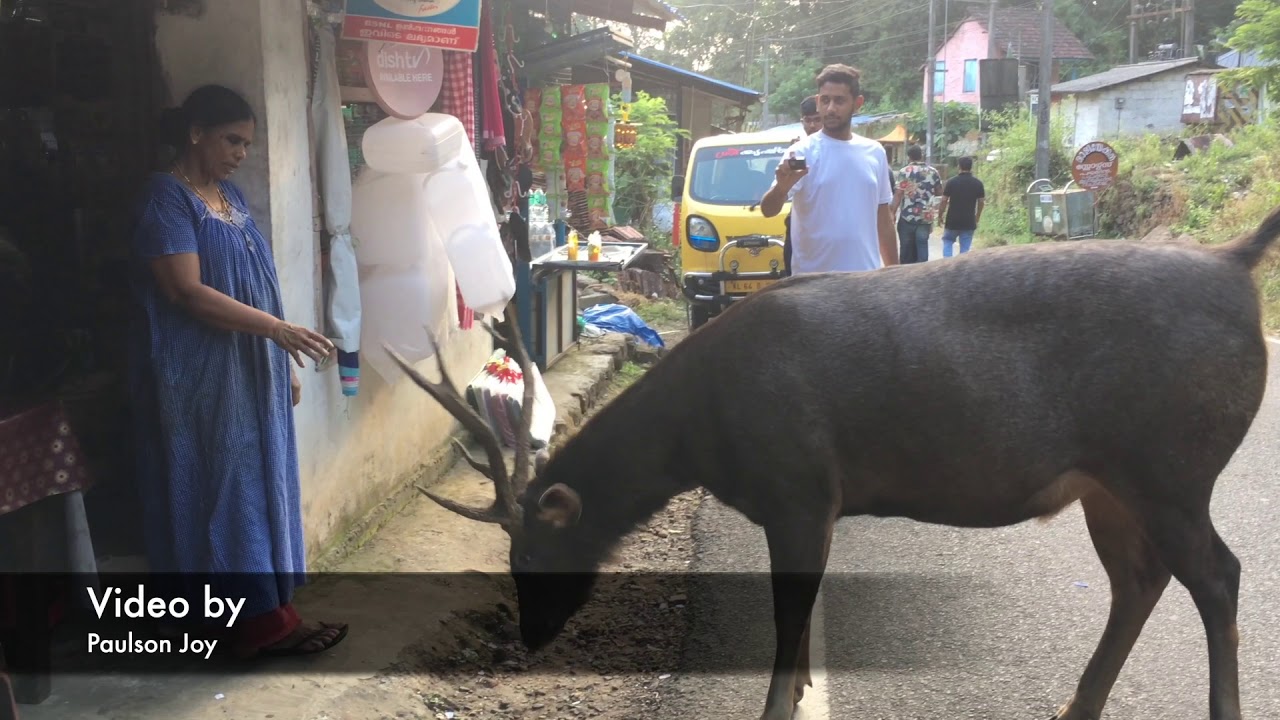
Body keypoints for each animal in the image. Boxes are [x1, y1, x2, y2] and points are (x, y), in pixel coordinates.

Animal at [387, 204, 1280, 720]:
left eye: (537, 555)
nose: (529, 640)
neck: (699, 438)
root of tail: (1235, 264)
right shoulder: (806, 501)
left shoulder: (801, 487)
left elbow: (788, 621)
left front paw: (778, 708)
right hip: (1111, 480)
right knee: (1140, 580)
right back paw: (1075, 707)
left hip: (1171, 462)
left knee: (1217, 575)